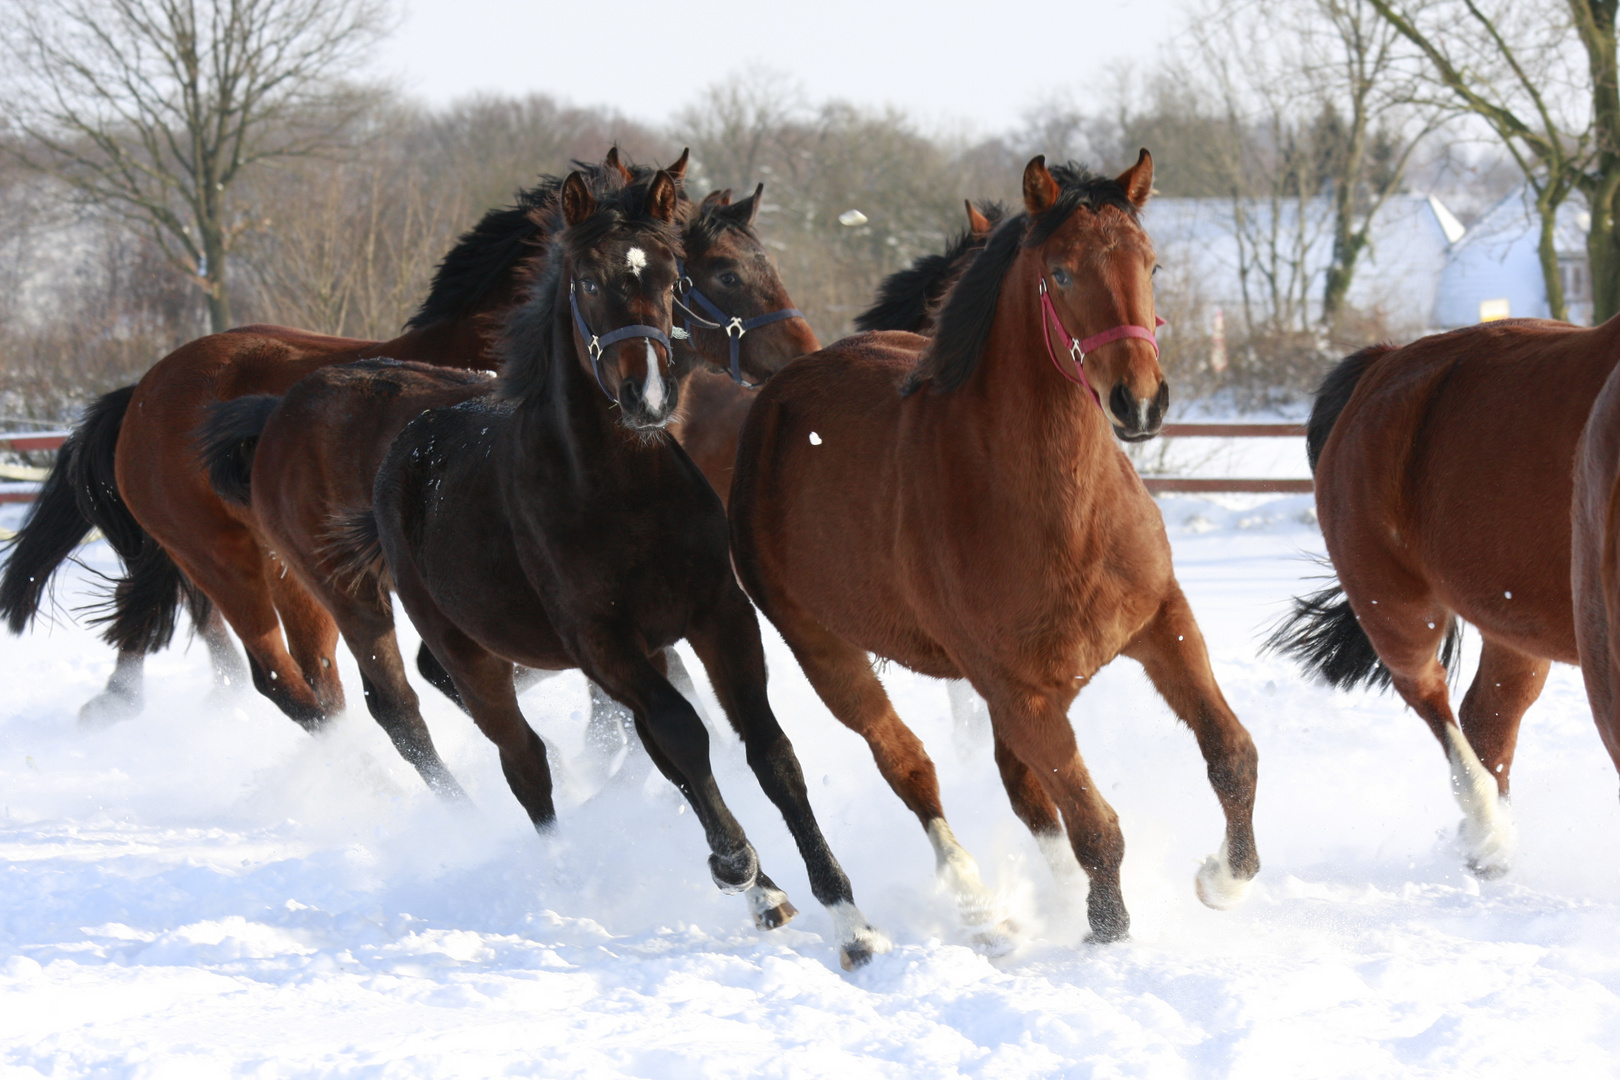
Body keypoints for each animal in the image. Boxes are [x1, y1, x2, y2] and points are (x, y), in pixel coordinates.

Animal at [354, 166, 887, 965]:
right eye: (588, 279)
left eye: (671, 278)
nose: (646, 395)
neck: (619, 488)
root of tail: (404, 450)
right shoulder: (603, 644)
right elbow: (684, 736)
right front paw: (739, 867)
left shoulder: (716, 617)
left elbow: (767, 749)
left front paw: (847, 918)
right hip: (471, 657)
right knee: (526, 763)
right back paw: (575, 880)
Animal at [729, 153, 1257, 945]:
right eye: (1061, 273)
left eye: (1152, 264)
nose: (1140, 403)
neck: (1065, 519)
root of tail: (772, 397)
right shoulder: (1020, 694)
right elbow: (1095, 824)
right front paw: (1106, 931)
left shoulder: (1162, 623)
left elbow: (1229, 752)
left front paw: (1224, 880)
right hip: (826, 651)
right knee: (907, 765)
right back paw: (973, 908)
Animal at [1263, 312, 1620, 880]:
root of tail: (1385, 362)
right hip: (1396, 608)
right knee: (1434, 701)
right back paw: (1488, 836)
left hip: (1514, 625)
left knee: (1488, 719)